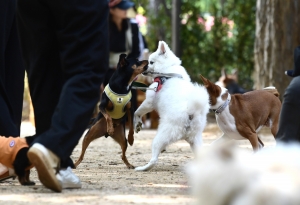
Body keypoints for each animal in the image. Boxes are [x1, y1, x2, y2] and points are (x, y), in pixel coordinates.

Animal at [134, 40, 209, 171]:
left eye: (151, 62)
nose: (144, 67)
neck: (168, 71)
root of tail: (191, 112)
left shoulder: (149, 101)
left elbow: (137, 112)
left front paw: (137, 123)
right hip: (196, 140)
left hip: (161, 137)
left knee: (154, 159)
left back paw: (143, 168)